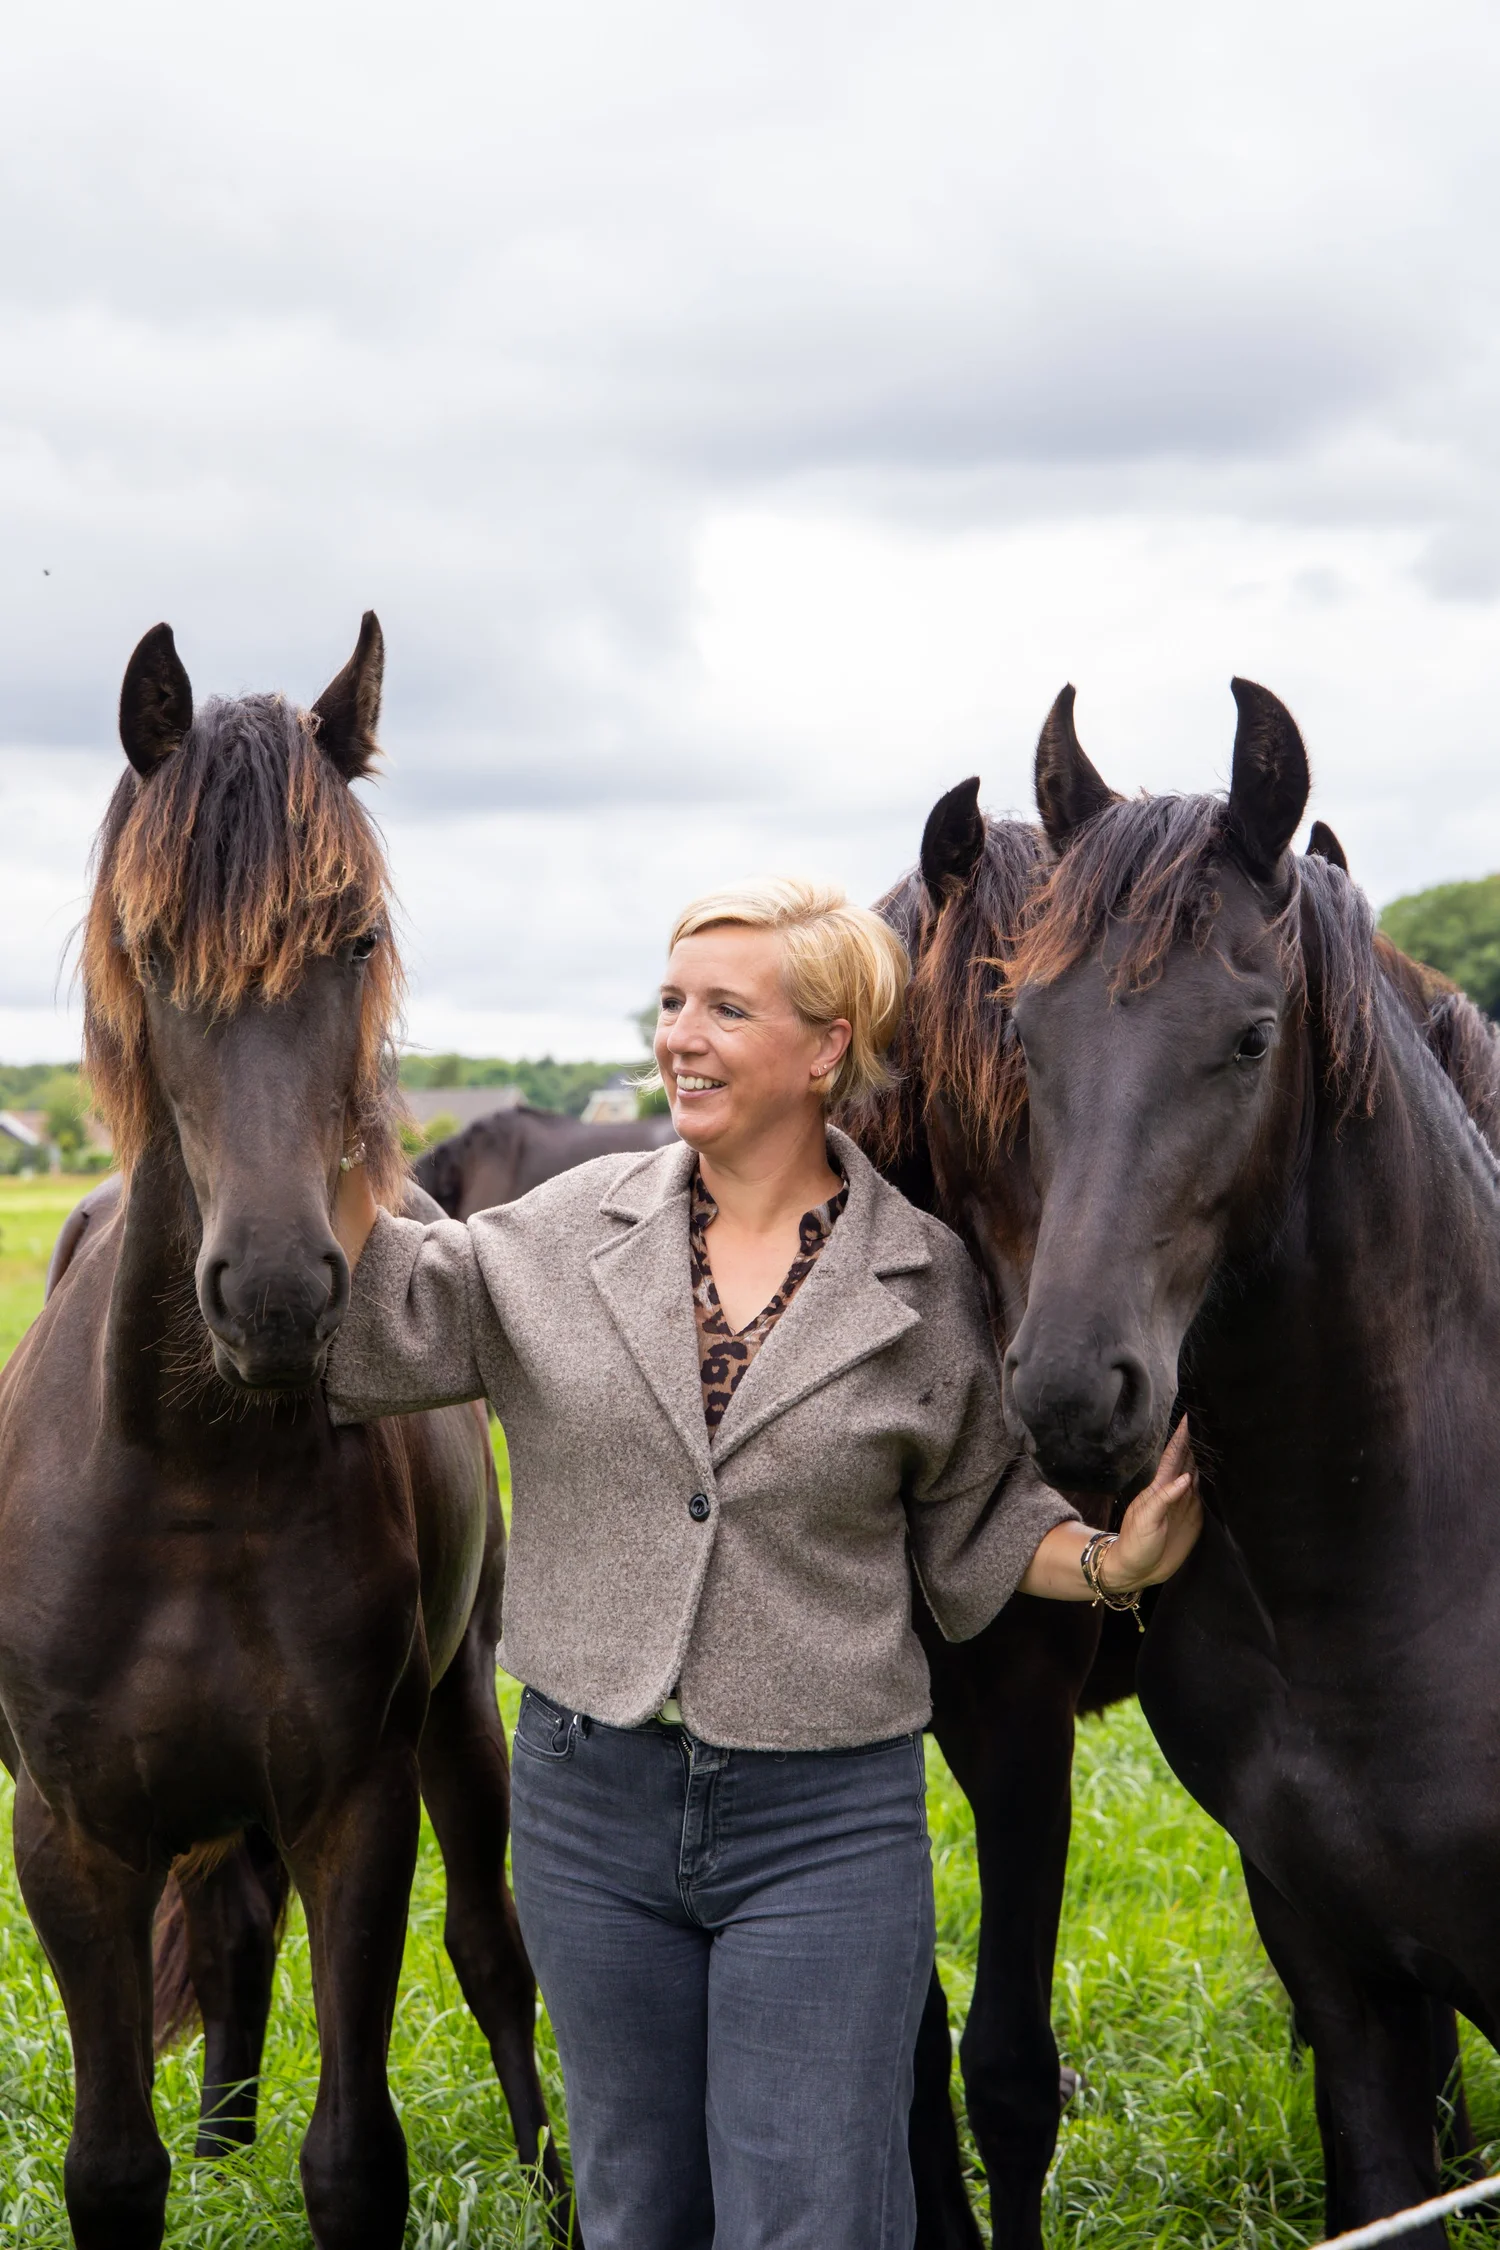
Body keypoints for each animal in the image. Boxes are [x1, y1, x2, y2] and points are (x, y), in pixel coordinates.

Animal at [0, 617, 572, 2250]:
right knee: (236, 1934)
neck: (194, 1484)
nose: (272, 1291)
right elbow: (110, 2169)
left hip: (459, 1713)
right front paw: (186, 2166)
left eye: (358, 941)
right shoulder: (72, 1839)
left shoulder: (354, 1811)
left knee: (495, 1955)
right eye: (148, 949)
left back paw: (548, 2188)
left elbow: (355, 2160)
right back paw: (219, 2151)